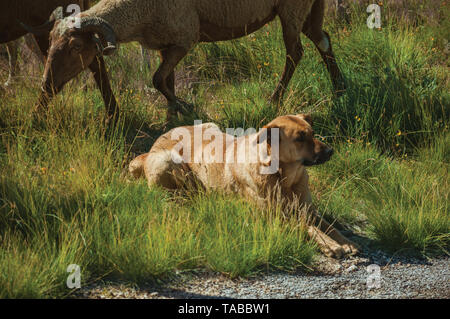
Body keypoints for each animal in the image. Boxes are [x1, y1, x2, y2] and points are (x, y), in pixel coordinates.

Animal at [129, 115, 358, 260]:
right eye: (300, 138)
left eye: (312, 132)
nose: (330, 151)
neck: (284, 177)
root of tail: (154, 143)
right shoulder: (273, 216)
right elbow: (308, 227)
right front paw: (330, 244)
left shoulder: (307, 208)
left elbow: (329, 225)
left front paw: (345, 241)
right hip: (168, 161)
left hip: (211, 126)